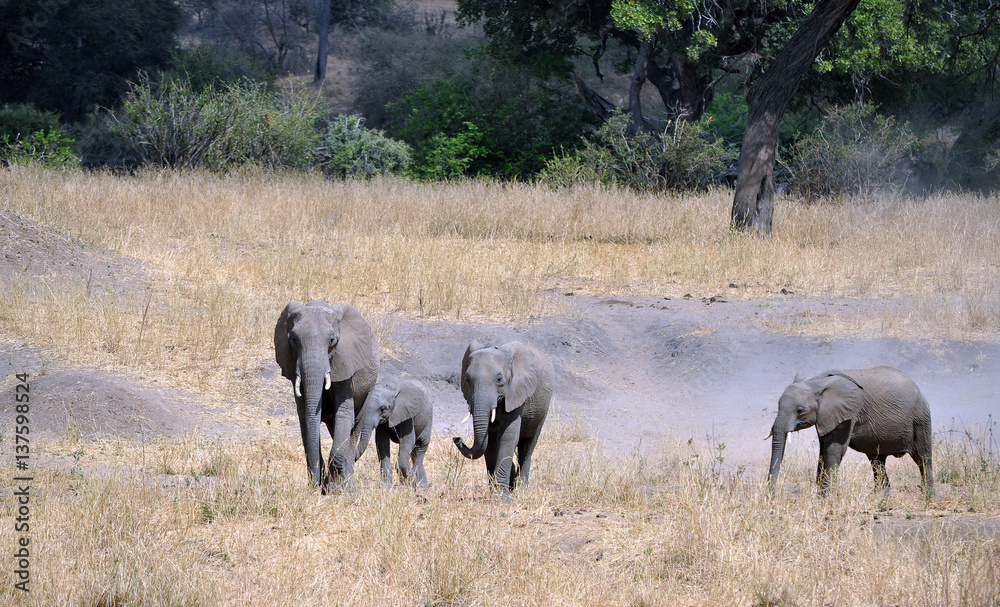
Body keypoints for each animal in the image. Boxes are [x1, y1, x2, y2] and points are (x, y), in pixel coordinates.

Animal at [274, 300, 379, 492]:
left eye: (332, 340)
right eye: (293, 340)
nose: (317, 485)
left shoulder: (345, 362)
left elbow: (344, 414)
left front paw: (334, 489)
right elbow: (305, 415)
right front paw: (322, 485)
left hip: (370, 388)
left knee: (355, 427)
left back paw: (348, 487)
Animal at [453, 340, 554, 499]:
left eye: (499, 379)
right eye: (467, 379)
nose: (457, 438)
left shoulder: (517, 391)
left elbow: (508, 435)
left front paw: (501, 499)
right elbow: (490, 441)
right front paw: (496, 494)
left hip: (542, 409)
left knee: (527, 446)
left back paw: (521, 491)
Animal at [768, 366, 933, 496]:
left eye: (800, 410)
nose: (772, 496)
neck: (817, 382)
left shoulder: (849, 414)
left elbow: (834, 450)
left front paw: (826, 499)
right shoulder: (827, 415)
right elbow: (823, 451)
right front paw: (820, 498)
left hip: (920, 419)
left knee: (923, 459)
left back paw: (928, 498)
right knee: (877, 461)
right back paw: (881, 499)